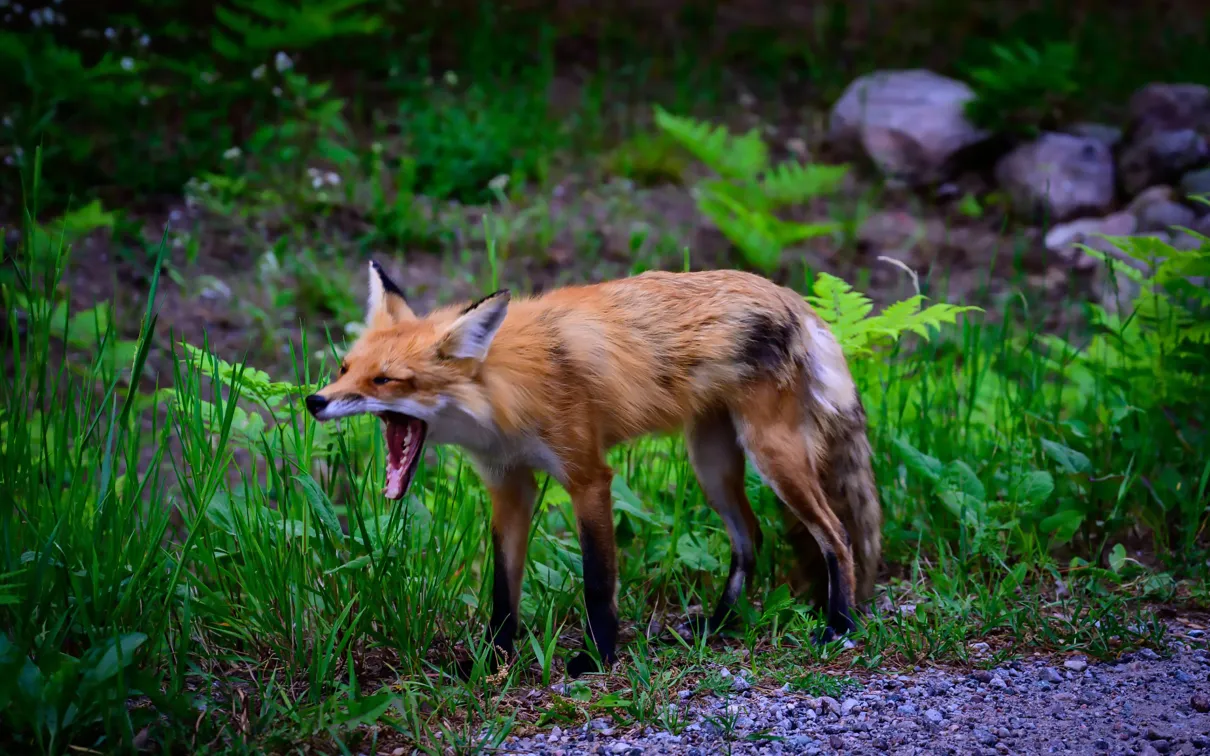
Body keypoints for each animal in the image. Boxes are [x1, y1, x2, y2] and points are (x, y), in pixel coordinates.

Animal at [305, 261, 882, 677]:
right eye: (345, 369)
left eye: (385, 380)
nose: (314, 401)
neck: (506, 392)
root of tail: (791, 297)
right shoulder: (508, 484)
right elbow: (503, 590)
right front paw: (493, 661)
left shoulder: (586, 477)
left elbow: (598, 580)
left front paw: (597, 658)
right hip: (711, 463)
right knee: (751, 537)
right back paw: (718, 626)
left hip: (772, 456)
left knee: (837, 535)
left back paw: (839, 624)